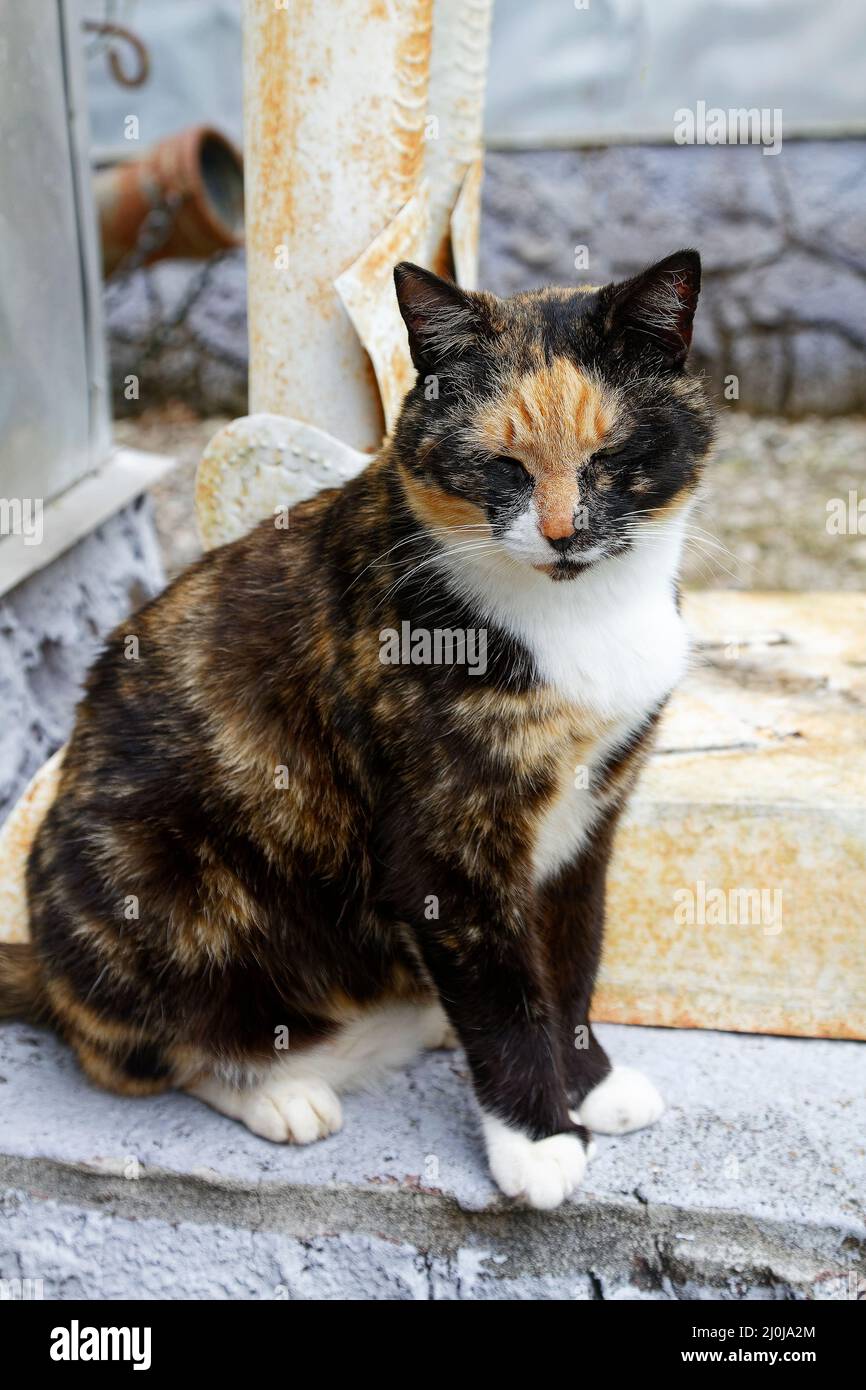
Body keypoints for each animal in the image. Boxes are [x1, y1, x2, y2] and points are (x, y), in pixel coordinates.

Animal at [3, 247, 717, 1206]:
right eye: (503, 465)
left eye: (612, 454)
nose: (563, 532)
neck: (579, 618)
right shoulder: (444, 847)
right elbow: (503, 999)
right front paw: (536, 1137)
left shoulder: (588, 824)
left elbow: (571, 963)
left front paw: (591, 1085)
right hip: (133, 878)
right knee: (137, 1053)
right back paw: (279, 1091)